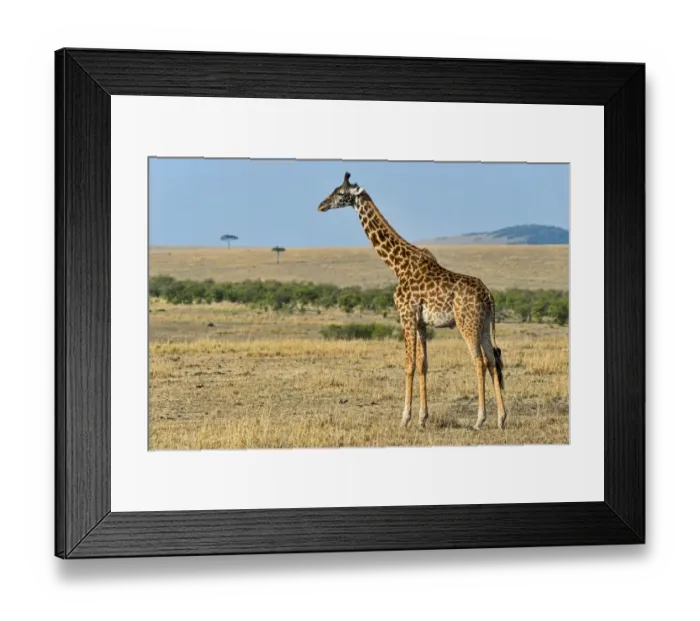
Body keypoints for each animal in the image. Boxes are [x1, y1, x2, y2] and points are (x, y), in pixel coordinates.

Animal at [317, 173, 507, 431]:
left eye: (339, 193)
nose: (321, 205)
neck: (397, 264)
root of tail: (489, 296)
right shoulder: (421, 322)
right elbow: (423, 364)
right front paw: (422, 418)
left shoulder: (405, 314)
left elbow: (409, 364)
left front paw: (405, 418)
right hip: (485, 325)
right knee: (492, 360)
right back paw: (501, 418)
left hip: (467, 323)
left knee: (478, 361)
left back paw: (480, 419)